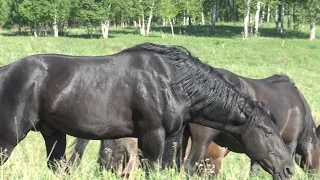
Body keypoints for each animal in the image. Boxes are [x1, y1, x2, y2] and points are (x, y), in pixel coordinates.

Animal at [0, 43, 294, 179]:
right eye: (267, 132)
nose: (289, 169)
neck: (173, 82)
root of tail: (5, 71)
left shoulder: (170, 139)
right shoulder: (152, 136)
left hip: (53, 135)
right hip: (9, 138)